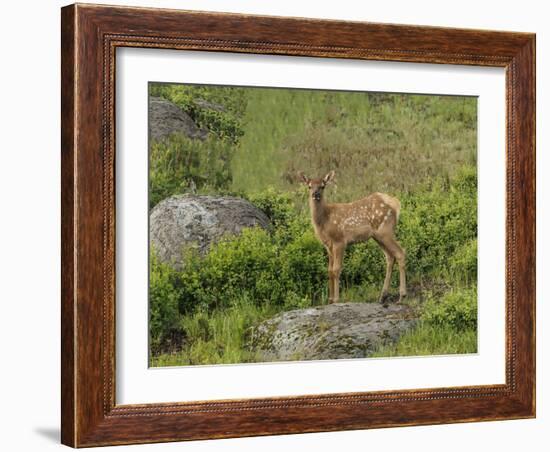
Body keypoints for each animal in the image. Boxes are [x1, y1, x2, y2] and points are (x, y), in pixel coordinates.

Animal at [300, 171, 408, 306]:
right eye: (309, 186)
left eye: (322, 186)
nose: (316, 194)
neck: (324, 220)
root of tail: (396, 203)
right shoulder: (328, 245)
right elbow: (329, 270)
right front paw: (329, 300)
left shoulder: (340, 240)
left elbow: (336, 269)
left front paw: (336, 300)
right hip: (378, 236)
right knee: (390, 257)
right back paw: (383, 296)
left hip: (385, 230)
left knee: (400, 252)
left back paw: (402, 296)